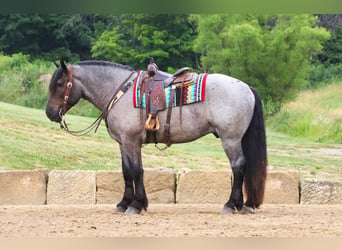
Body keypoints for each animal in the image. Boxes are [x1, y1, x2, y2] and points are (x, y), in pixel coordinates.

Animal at [46, 60, 268, 215]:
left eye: (60, 83)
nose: (50, 113)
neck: (120, 92)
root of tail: (246, 87)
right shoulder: (124, 144)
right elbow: (128, 172)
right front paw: (126, 203)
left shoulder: (131, 142)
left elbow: (135, 171)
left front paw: (136, 205)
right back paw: (243, 204)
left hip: (231, 140)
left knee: (238, 167)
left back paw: (231, 204)